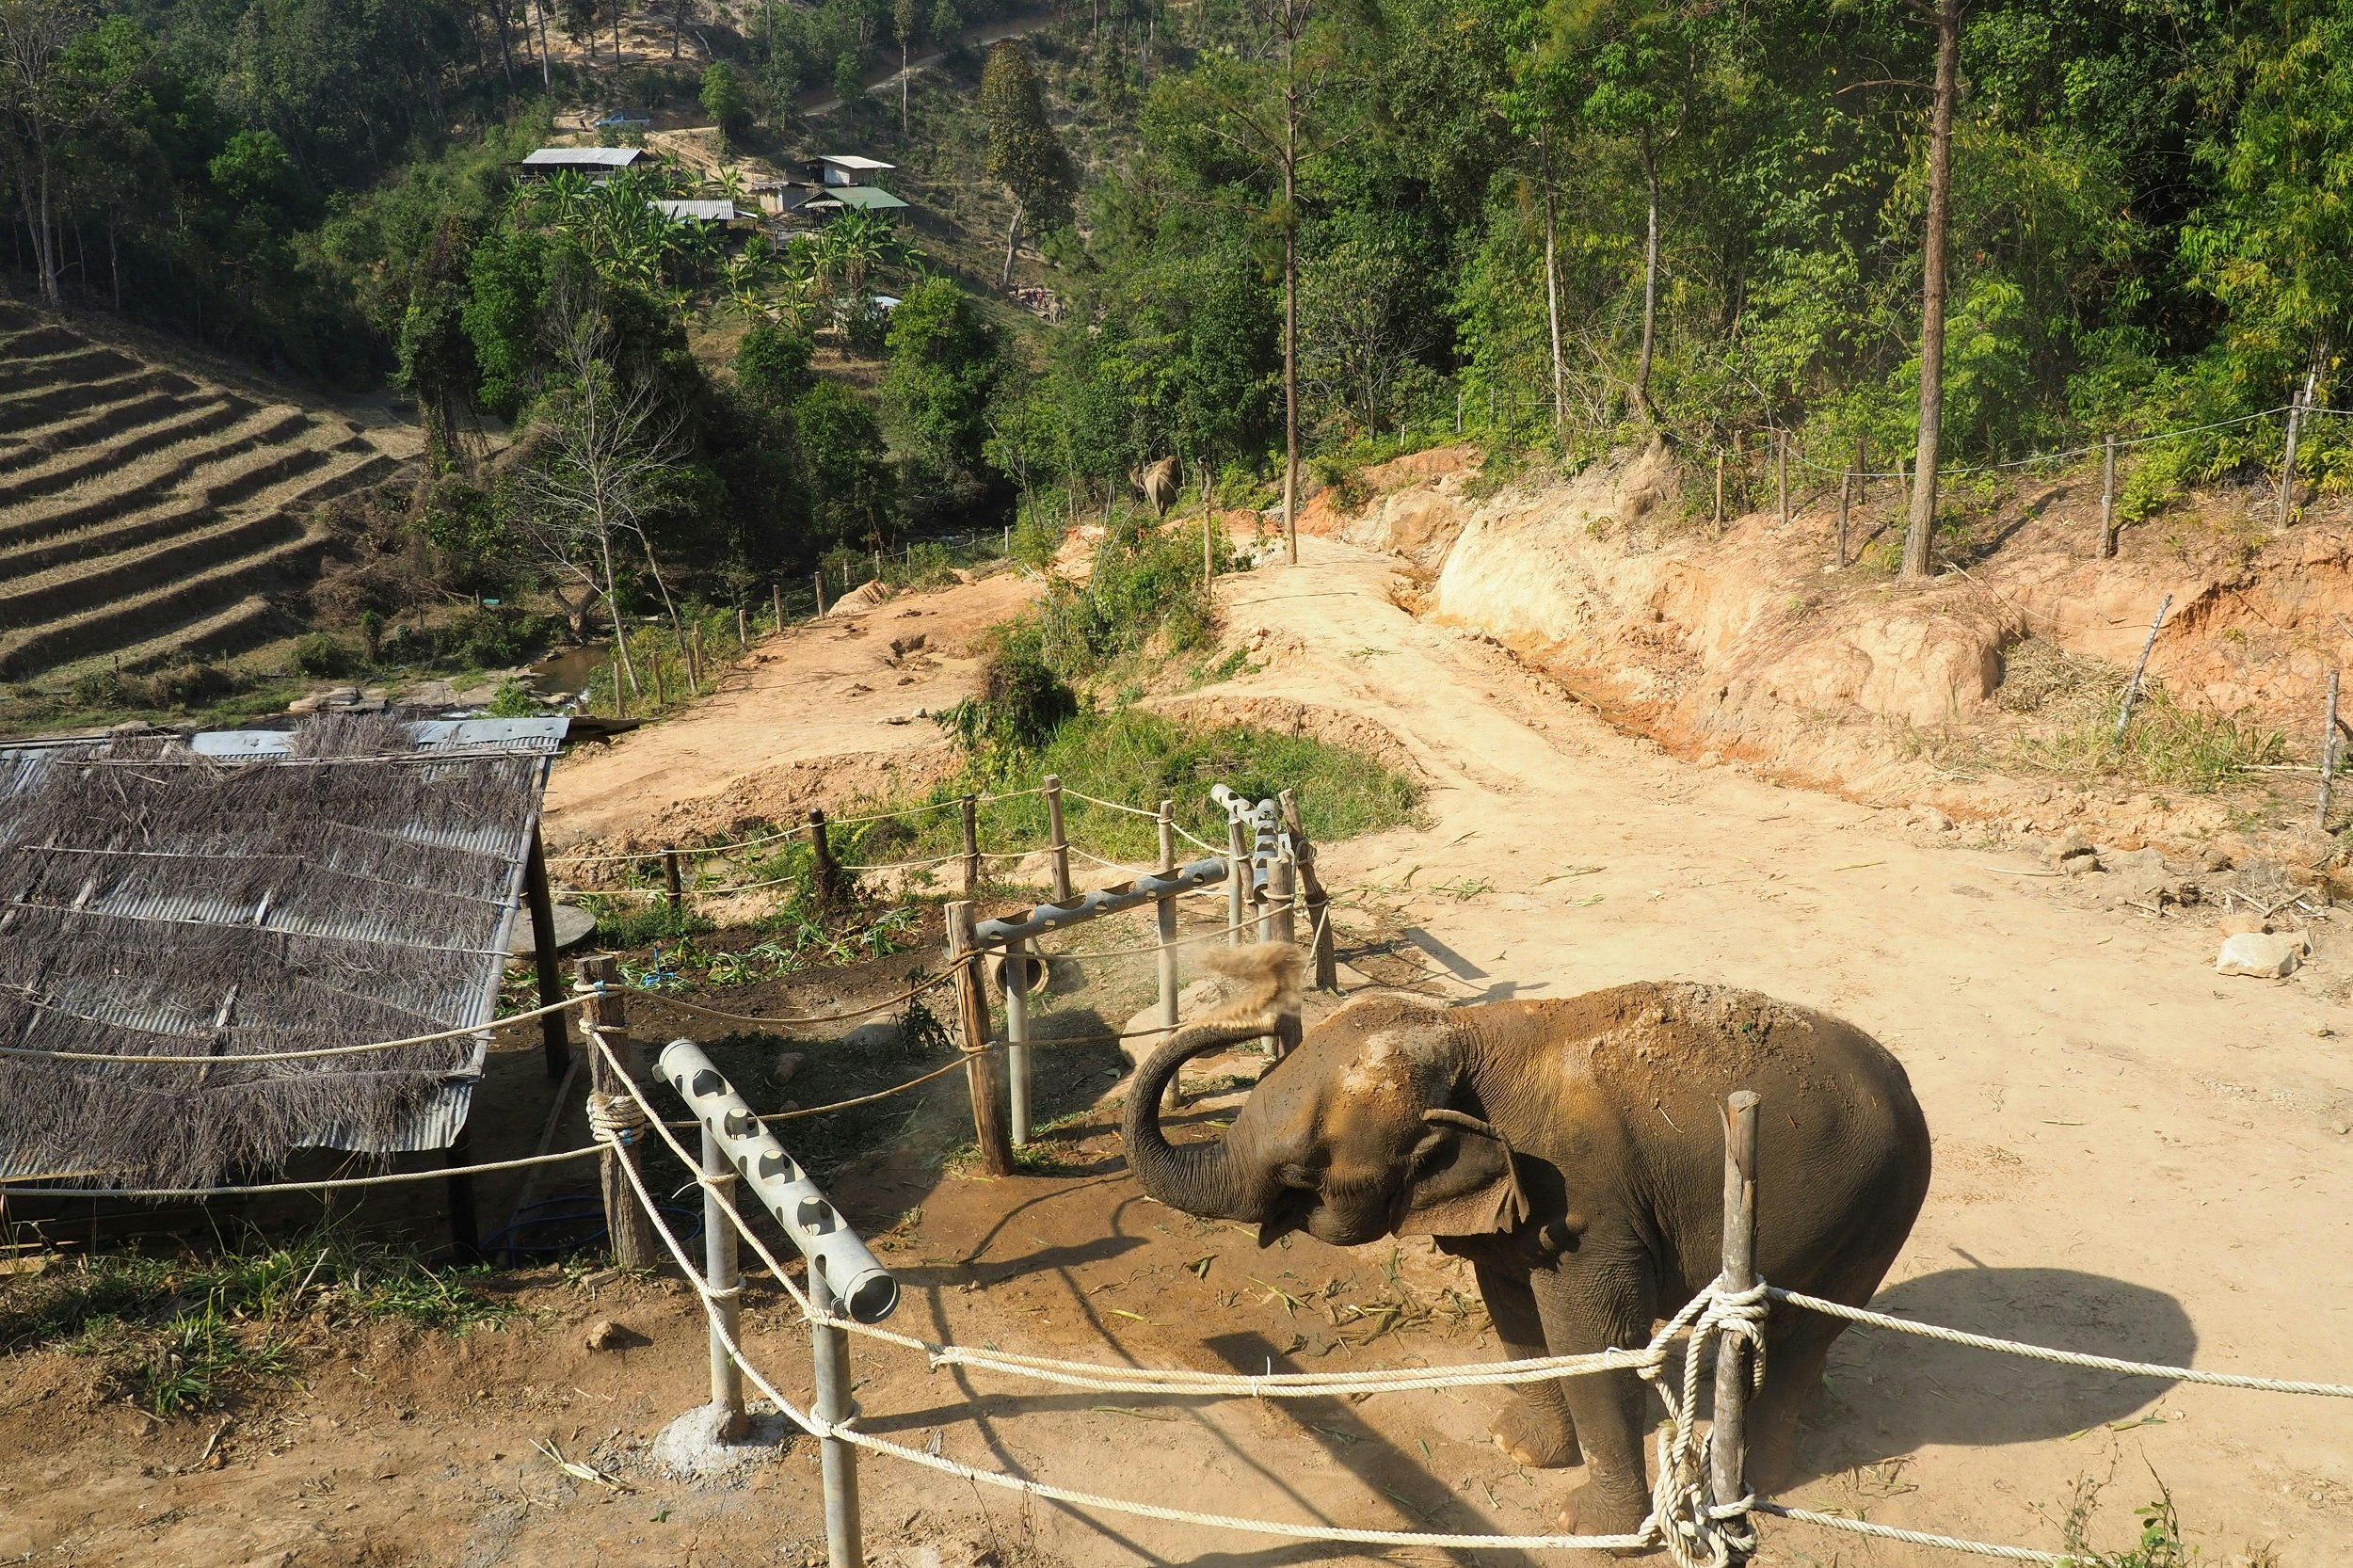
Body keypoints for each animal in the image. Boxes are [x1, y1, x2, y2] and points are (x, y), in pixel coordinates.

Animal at [1120, 946, 1929, 1534]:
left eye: (1302, 1172)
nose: (1248, 1006)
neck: (1468, 1037)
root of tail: (1902, 1078)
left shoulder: (1589, 1214)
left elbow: (1593, 1344)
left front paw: (1586, 1526)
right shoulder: (1526, 1212)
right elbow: (1513, 1312)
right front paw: (1518, 1448)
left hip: (1883, 1204)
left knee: (1806, 1332)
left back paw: (1762, 1472)